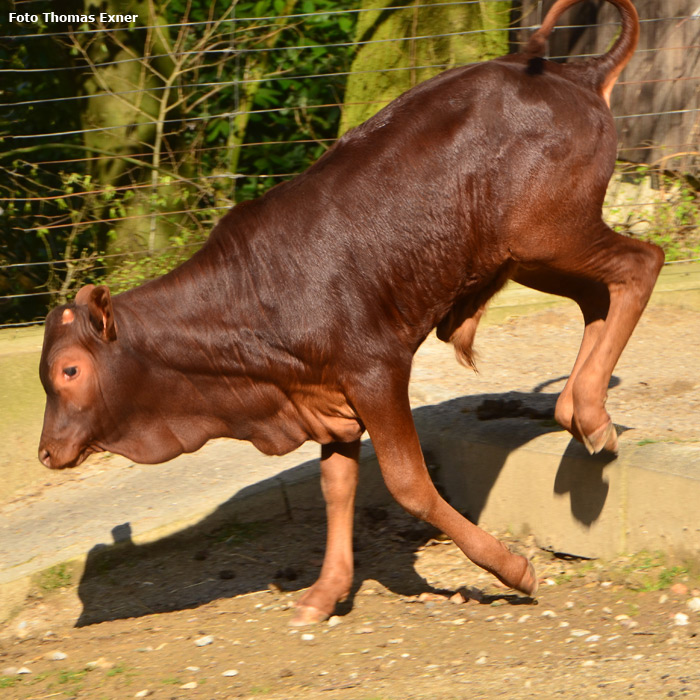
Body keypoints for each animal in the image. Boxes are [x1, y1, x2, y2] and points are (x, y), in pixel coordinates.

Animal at [38, 0, 660, 624]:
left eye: (70, 370)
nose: (45, 452)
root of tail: (572, 73)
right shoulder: (324, 393)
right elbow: (336, 486)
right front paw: (326, 589)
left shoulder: (374, 368)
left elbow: (409, 482)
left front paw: (512, 568)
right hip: (528, 252)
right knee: (597, 297)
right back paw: (581, 411)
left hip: (550, 231)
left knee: (641, 263)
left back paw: (590, 411)